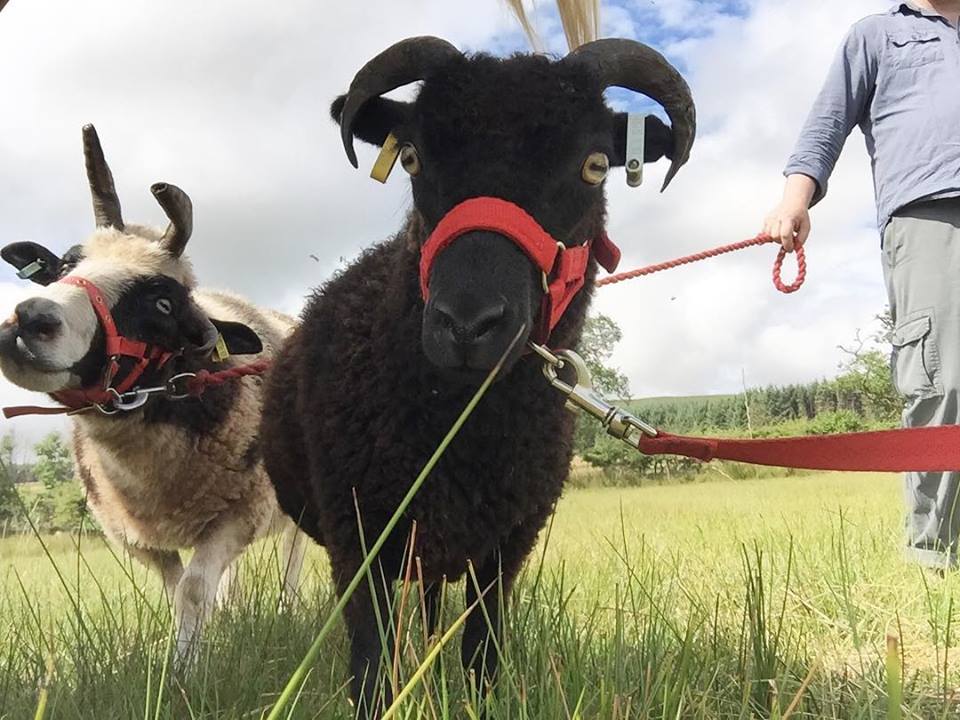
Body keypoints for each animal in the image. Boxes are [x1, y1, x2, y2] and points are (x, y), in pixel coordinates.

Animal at [0, 125, 306, 657]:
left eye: (164, 303)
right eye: (62, 267)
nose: (30, 319)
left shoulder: (240, 512)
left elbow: (194, 590)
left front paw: (185, 664)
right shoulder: (134, 536)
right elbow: (177, 587)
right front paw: (199, 644)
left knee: (292, 556)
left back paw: (287, 608)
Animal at [259, 36, 695, 714]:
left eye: (595, 165)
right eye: (412, 157)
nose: (467, 323)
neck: (463, 430)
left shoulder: (507, 544)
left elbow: (482, 653)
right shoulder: (360, 538)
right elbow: (370, 667)